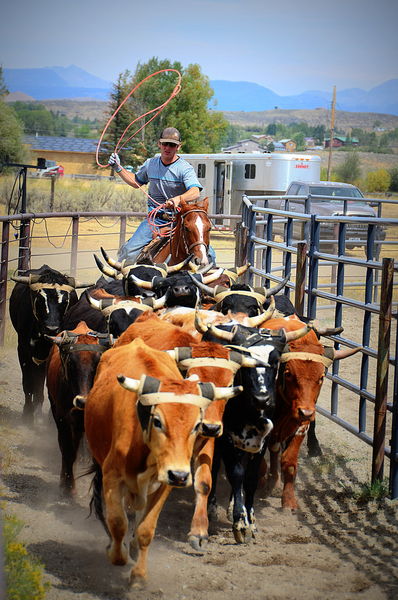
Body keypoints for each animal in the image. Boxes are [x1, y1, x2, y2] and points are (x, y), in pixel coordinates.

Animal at [9, 264, 84, 424]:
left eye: (65, 302)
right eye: (39, 300)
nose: (52, 328)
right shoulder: (23, 349)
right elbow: (28, 382)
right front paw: (28, 413)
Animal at [84, 340, 239, 588]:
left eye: (196, 425)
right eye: (157, 421)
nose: (180, 475)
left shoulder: (165, 483)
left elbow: (146, 529)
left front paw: (139, 575)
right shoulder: (112, 476)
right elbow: (117, 522)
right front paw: (117, 553)